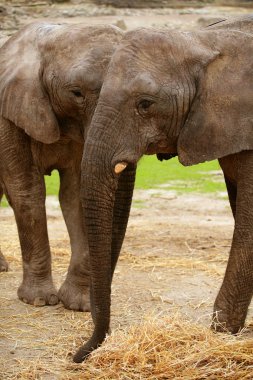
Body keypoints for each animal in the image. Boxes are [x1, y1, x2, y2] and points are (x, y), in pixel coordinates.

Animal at [0, 20, 123, 310]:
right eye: (76, 93)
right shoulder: (8, 113)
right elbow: (27, 191)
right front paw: (39, 301)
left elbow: (76, 195)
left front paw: (79, 304)